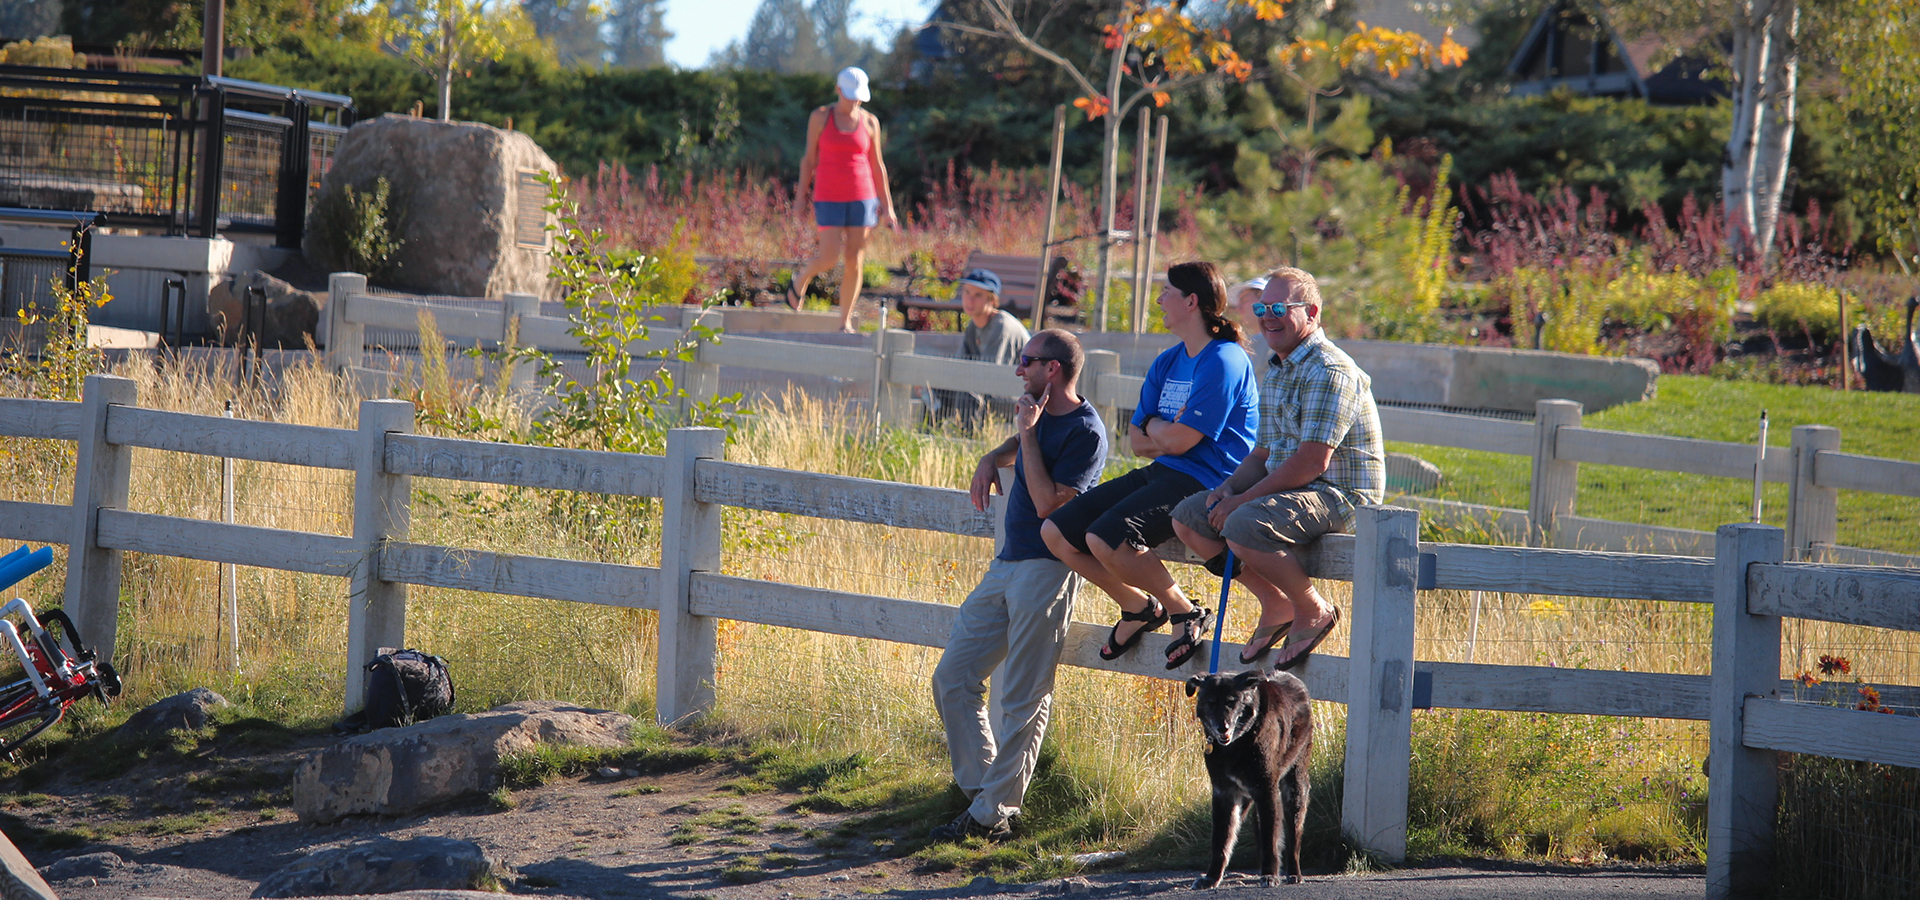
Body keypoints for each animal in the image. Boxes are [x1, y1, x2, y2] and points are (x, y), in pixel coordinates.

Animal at [1182, 667, 1320, 882]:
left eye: (1232, 701)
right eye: (1211, 702)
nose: (1223, 727)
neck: (1238, 743)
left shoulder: (1266, 791)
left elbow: (1270, 839)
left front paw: (1270, 874)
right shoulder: (1224, 794)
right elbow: (1220, 841)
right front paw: (1211, 878)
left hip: (1294, 790)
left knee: (1293, 838)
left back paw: (1293, 873)